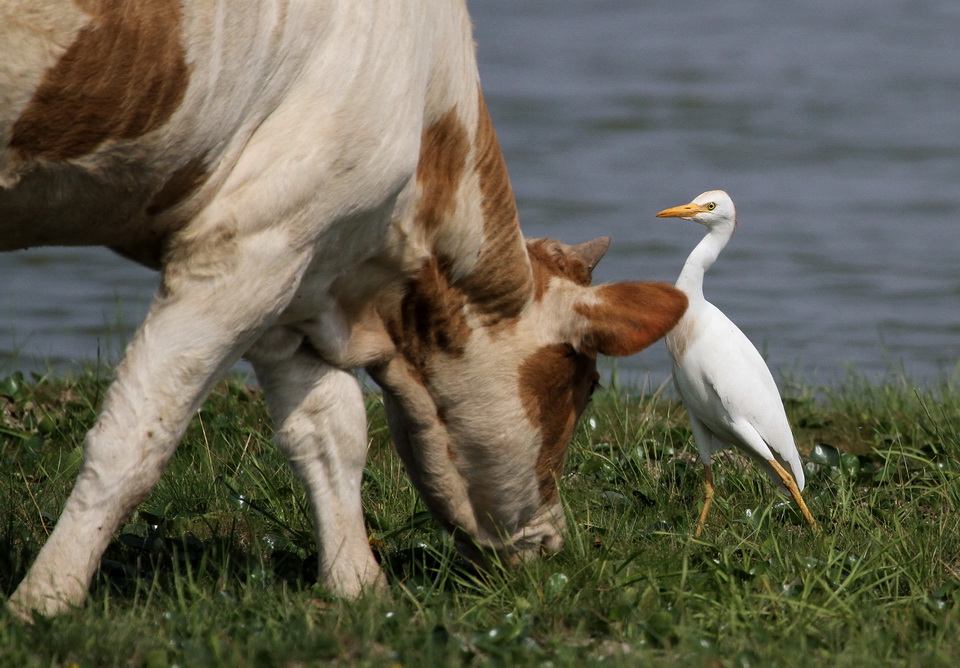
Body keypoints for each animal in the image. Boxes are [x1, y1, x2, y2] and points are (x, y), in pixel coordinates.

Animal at [3, 0, 688, 620]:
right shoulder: (242, 245)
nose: (550, 544)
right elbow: (135, 437)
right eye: (586, 386)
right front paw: (45, 601)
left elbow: (330, 431)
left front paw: (358, 587)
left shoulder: (297, 270)